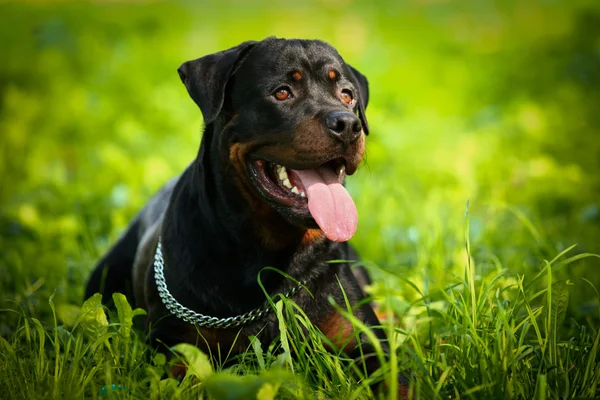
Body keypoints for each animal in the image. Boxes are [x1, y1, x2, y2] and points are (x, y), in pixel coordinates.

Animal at [85, 36, 408, 396]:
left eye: (347, 94)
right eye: (282, 92)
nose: (348, 124)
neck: (273, 256)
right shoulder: (176, 349)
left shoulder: (367, 345)